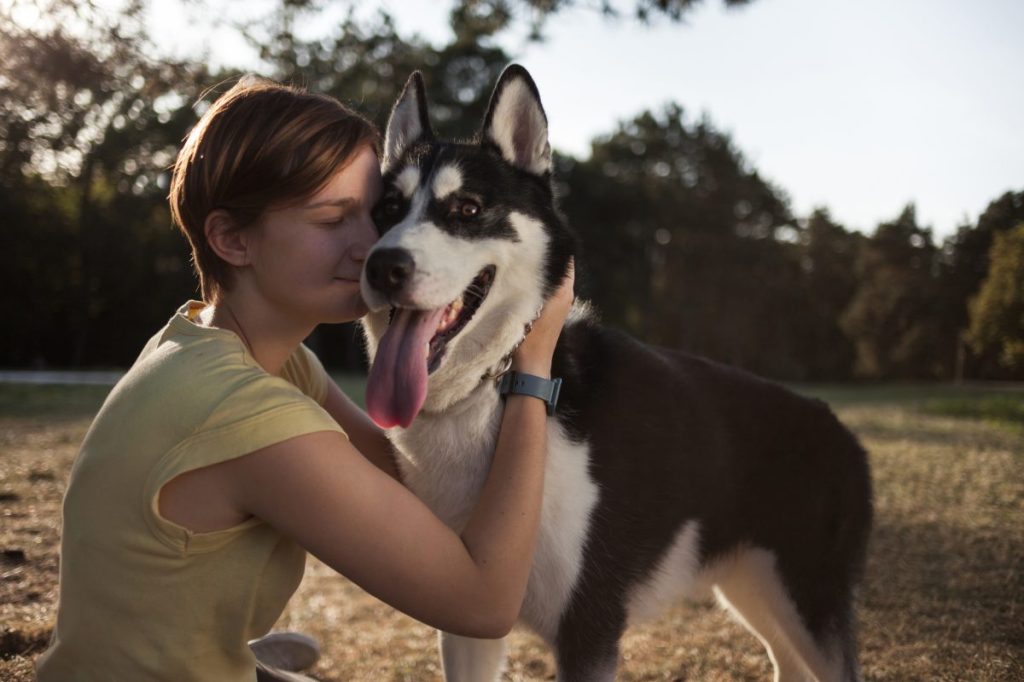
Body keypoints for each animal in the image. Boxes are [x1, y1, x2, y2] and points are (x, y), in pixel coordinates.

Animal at [360, 65, 872, 679]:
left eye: (466, 209)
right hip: (756, 594)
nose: (383, 267)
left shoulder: (589, 628)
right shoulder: (468, 618)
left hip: (804, 603)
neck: (498, 392)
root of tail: (838, 428)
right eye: (388, 209)